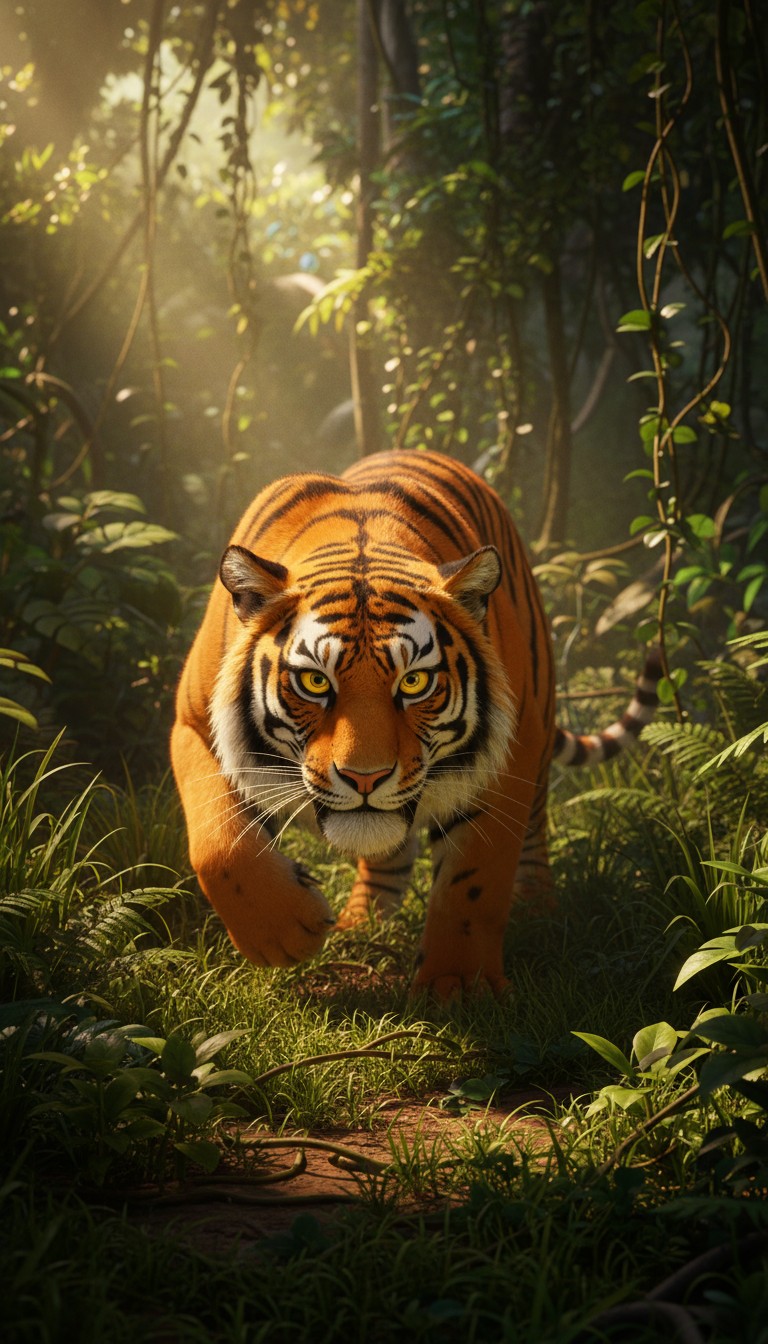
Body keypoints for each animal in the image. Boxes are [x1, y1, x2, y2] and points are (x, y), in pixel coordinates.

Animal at [171, 449, 661, 999]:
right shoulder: (193, 723)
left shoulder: (508, 755)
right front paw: (284, 935)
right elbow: (218, 845)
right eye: (315, 682)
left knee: (533, 835)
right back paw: (360, 926)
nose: (364, 778)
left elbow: (475, 881)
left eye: (415, 682)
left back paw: (538, 913)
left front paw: (460, 987)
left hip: (537, 719)